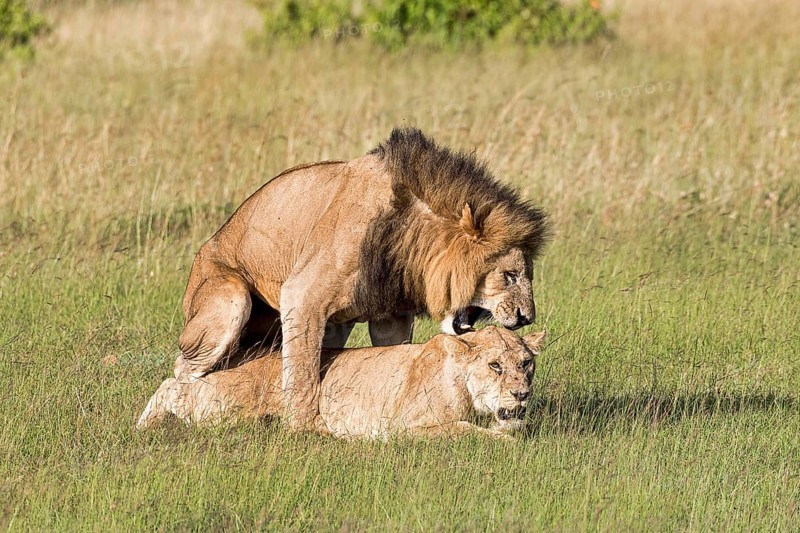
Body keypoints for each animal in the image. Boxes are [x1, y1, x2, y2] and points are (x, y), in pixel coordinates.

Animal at [137, 327, 545, 440]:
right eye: (495, 366)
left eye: (526, 364)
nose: (522, 392)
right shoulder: (404, 428)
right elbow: (464, 430)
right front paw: (507, 440)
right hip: (223, 409)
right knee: (171, 383)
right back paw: (143, 426)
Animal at [176, 127, 549, 430]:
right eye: (510, 275)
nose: (526, 318)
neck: (410, 236)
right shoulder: (301, 296)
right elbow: (302, 376)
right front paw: (304, 428)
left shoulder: (391, 314)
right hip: (230, 299)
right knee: (184, 367)